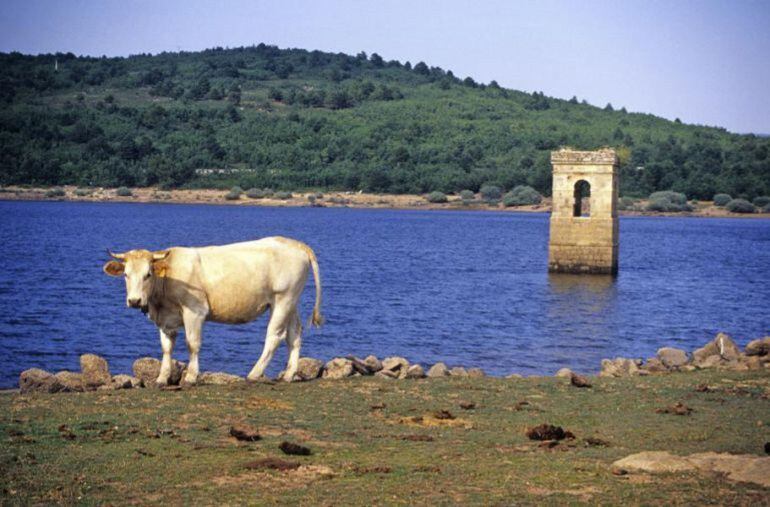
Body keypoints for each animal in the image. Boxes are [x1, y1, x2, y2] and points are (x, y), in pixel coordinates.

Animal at [102, 237, 320, 384]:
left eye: (148, 274)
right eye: (126, 274)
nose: (134, 300)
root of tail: (295, 243)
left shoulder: (195, 311)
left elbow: (192, 343)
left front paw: (191, 376)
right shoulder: (165, 319)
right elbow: (166, 347)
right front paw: (162, 378)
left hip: (282, 299)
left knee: (274, 336)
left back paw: (254, 373)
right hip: (291, 301)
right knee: (294, 334)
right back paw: (289, 374)